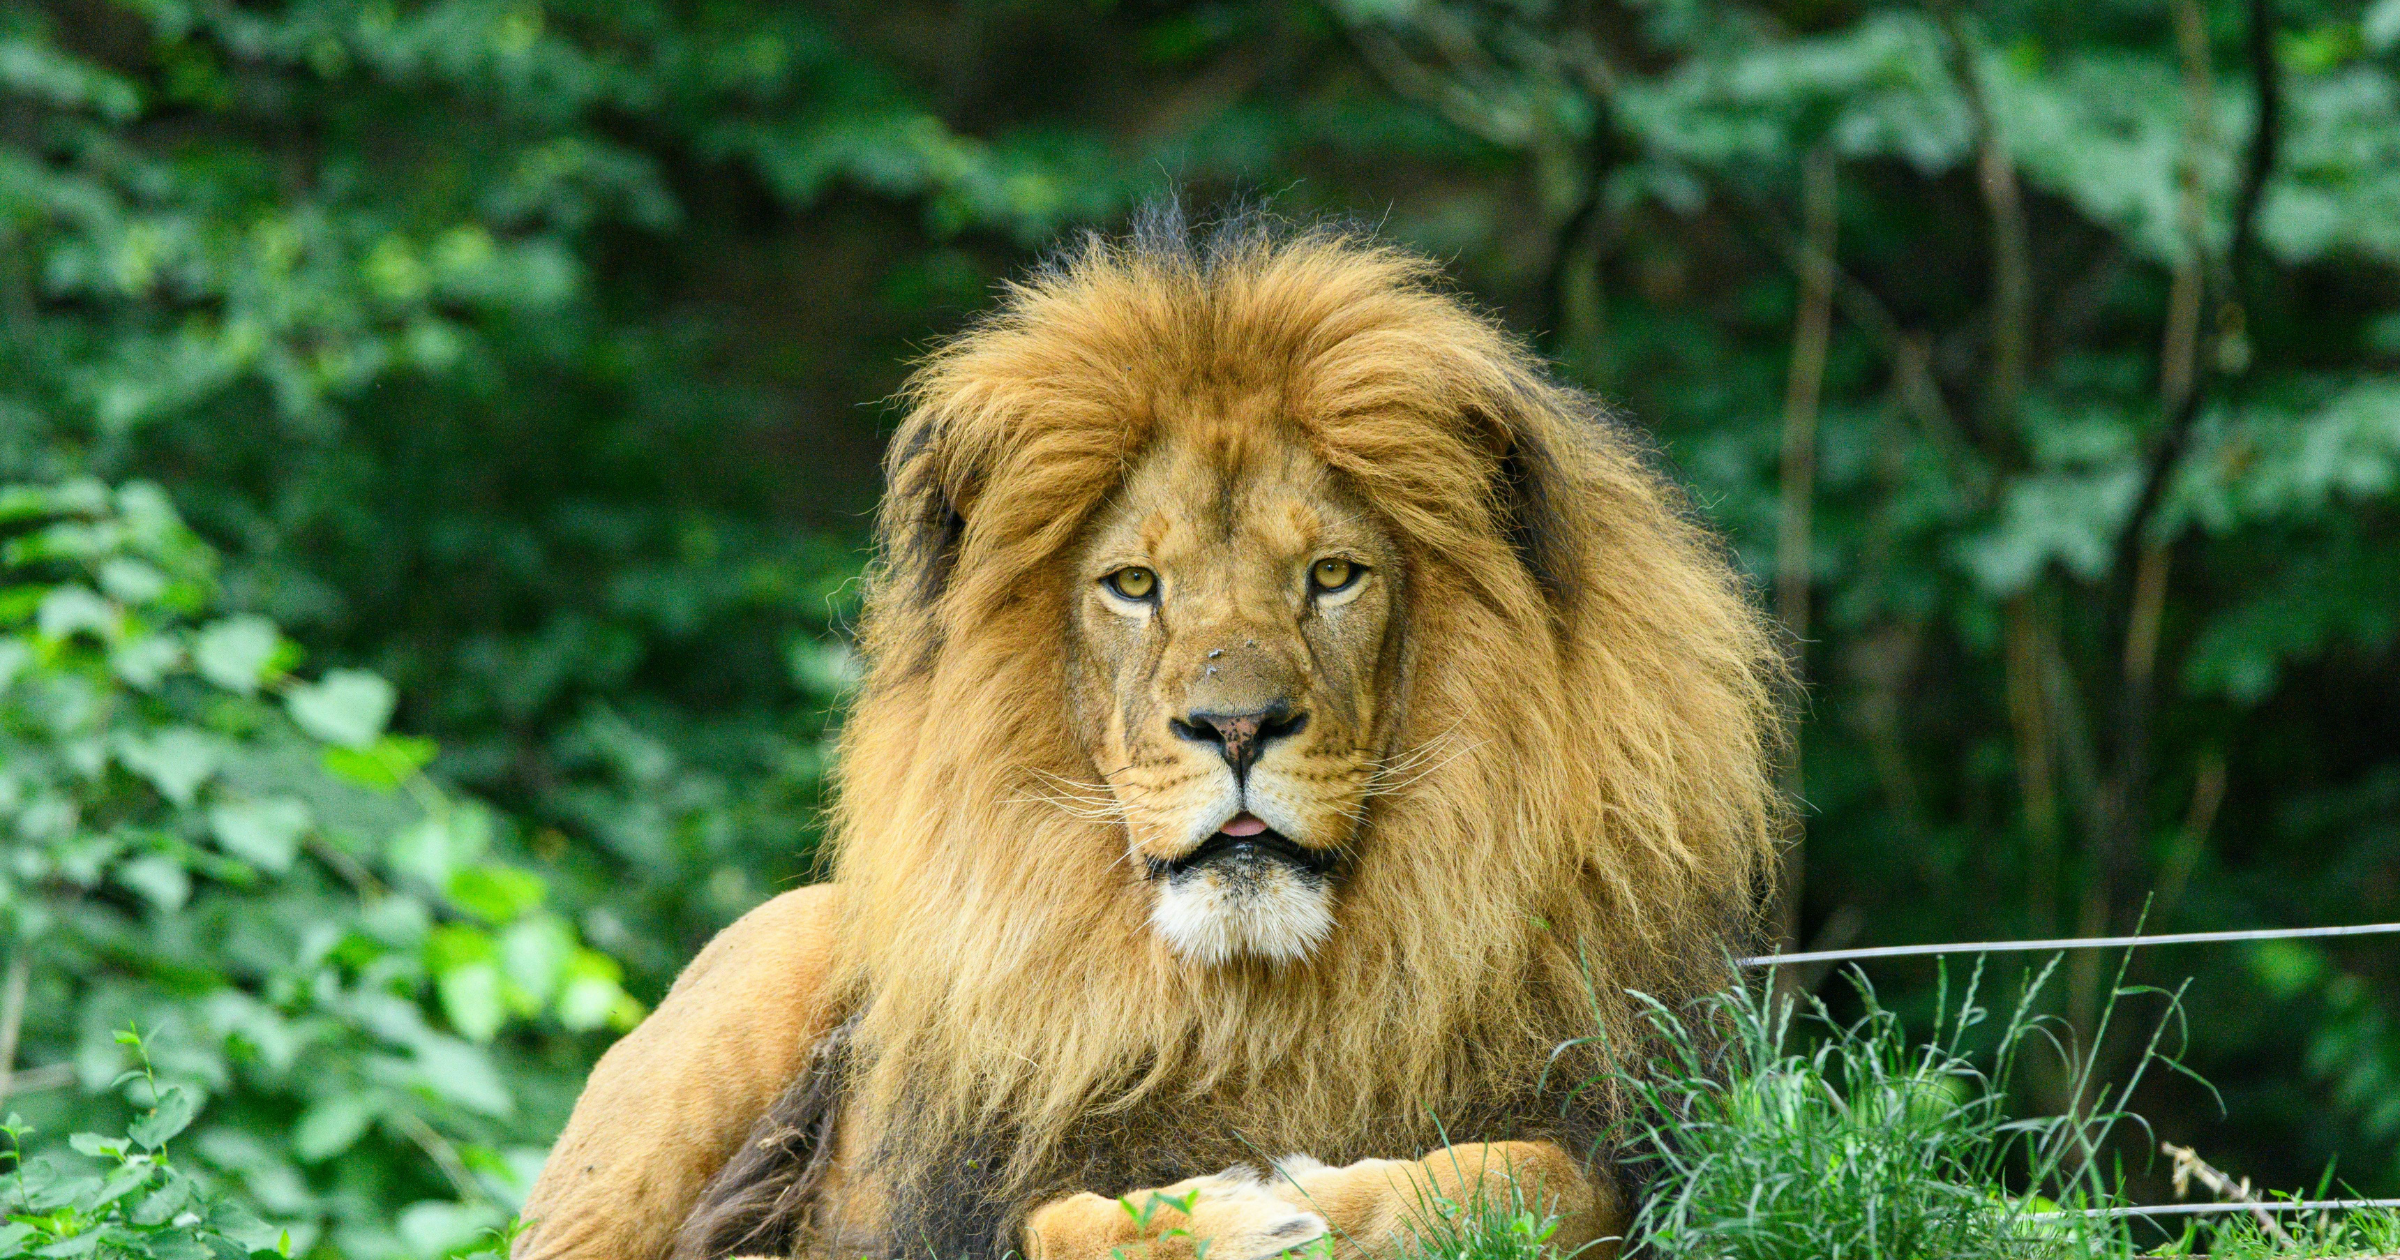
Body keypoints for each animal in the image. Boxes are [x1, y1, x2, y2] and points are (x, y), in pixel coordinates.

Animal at [512, 208, 1785, 1260]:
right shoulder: (960, 1206)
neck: (1254, 1006)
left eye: (1333, 575)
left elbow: (1530, 1180)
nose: (1237, 726)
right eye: (1134, 585)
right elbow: (1072, 1223)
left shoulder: (1634, 1138)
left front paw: (1319, 1203)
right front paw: (1238, 1218)